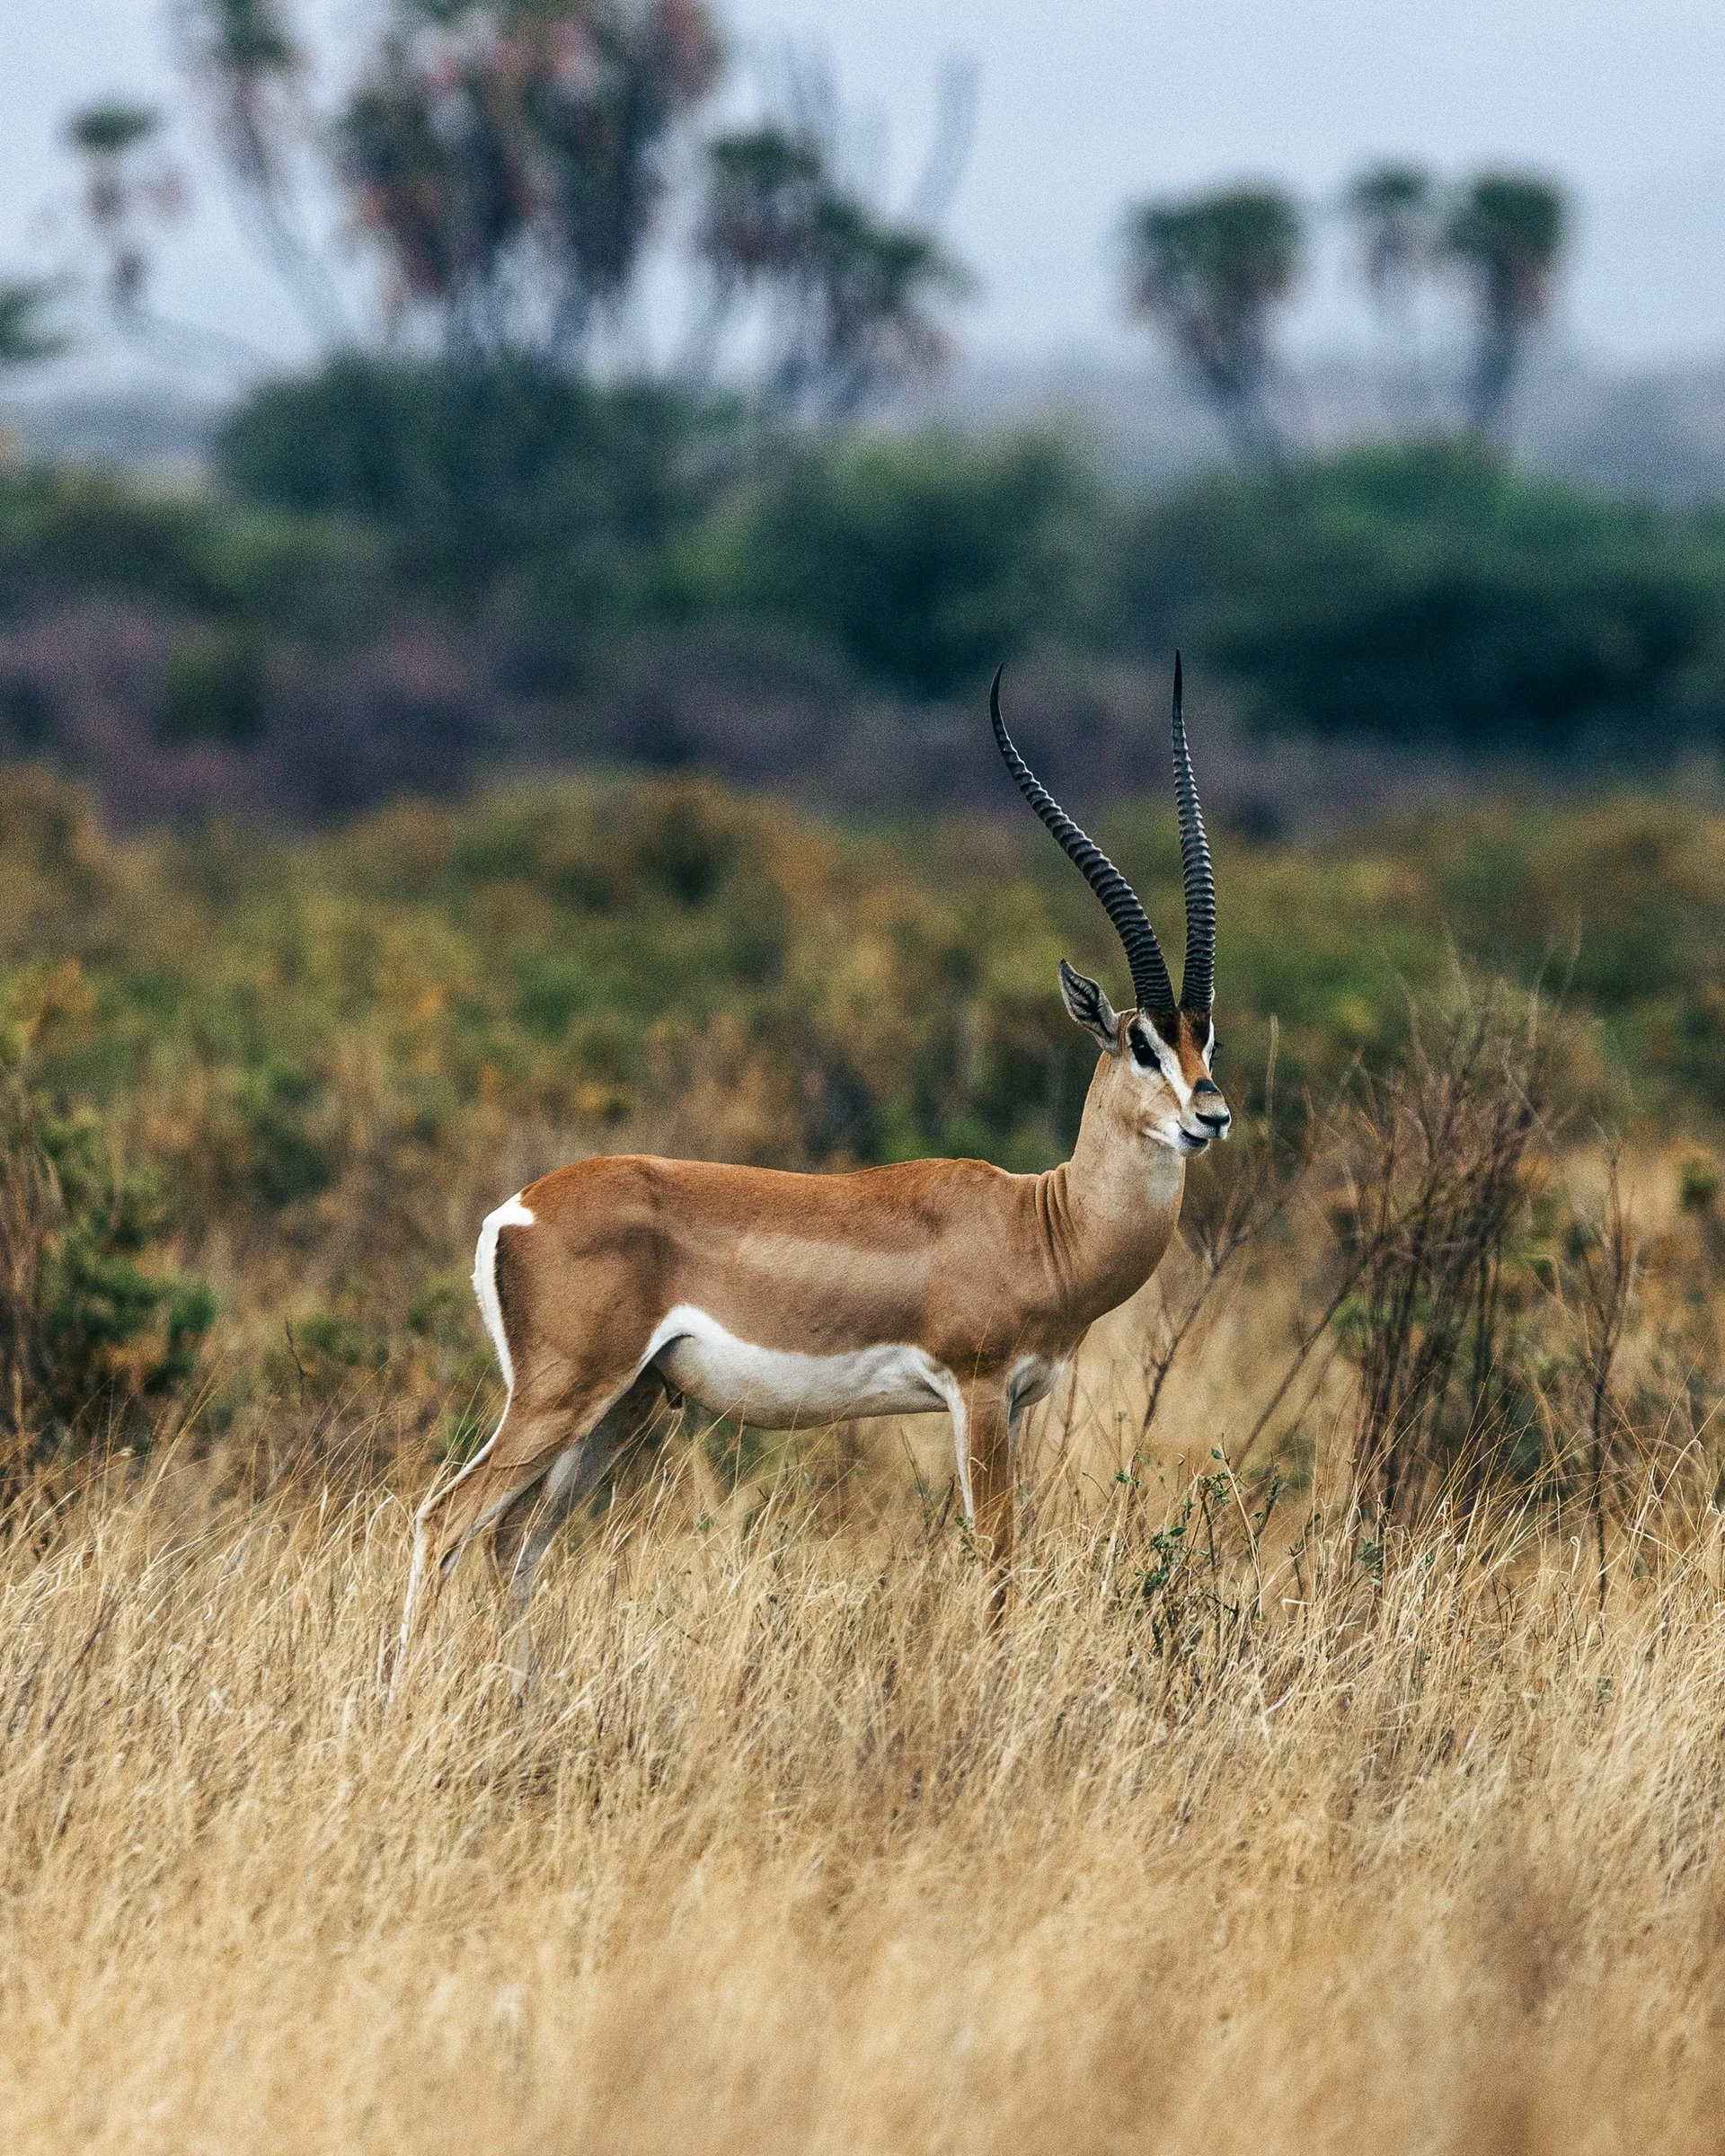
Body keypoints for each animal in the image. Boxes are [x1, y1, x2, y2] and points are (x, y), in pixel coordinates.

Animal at [400, 658, 1229, 1646]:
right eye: (1140, 1042)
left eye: (1206, 1038)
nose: (1212, 1116)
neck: (1042, 1222)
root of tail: (514, 1211)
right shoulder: (979, 1391)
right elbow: (994, 1563)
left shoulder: (1022, 1404)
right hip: (562, 1396)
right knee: (443, 1520)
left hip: (619, 1405)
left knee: (512, 1543)